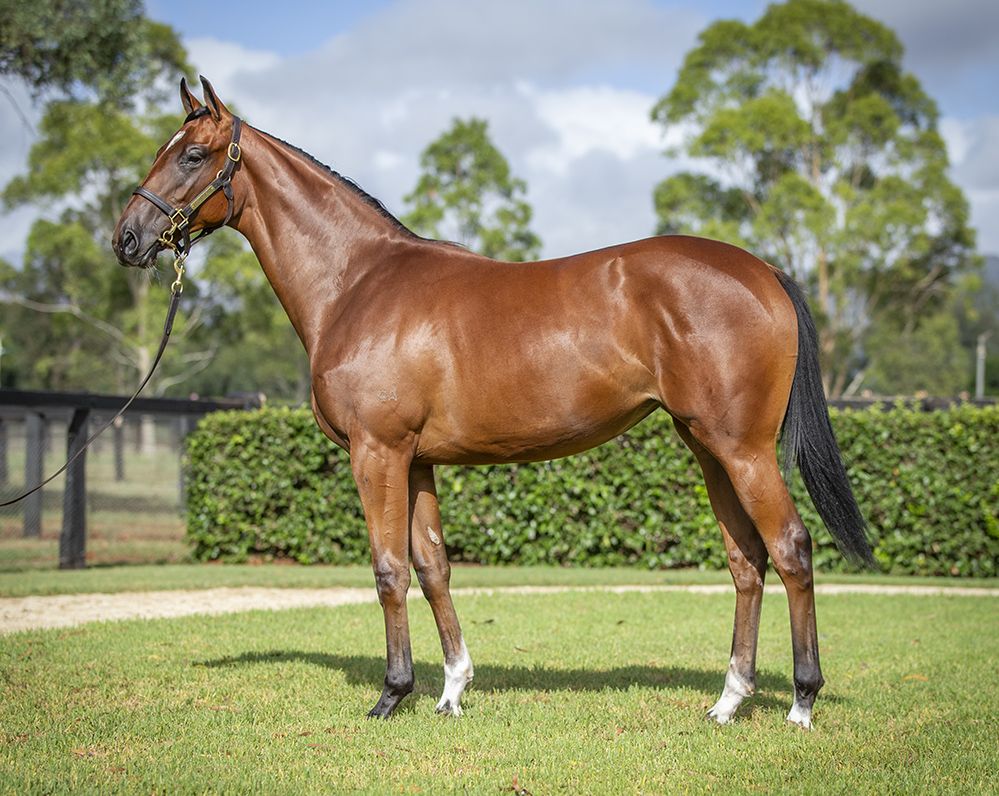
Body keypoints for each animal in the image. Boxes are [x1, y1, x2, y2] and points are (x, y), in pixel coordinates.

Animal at [113, 77, 872, 729]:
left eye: (191, 154)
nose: (127, 239)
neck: (357, 282)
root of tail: (763, 271)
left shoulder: (376, 453)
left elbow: (388, 570)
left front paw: (392, 695)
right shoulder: (416, 461)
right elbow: (432, 567)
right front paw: (451, 690)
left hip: (742, 449)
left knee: (791, 548)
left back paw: (801, 702)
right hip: (708, 448)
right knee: (746, 561)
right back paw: (728, 700)